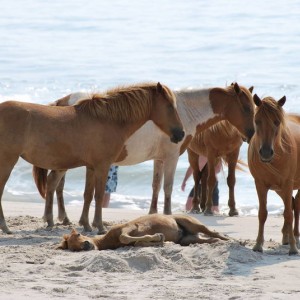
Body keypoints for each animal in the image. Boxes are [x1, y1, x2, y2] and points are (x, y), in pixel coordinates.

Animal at [0, 82, 185, 234]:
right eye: (170, 106)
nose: (180, 134)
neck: (107, 120)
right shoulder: (103, 165)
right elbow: (99, 195)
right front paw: (100, 226)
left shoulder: (91, 166)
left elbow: (88, 195)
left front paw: (87, 225)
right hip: (8, 161)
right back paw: (6, 227)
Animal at [32, 82, 255, 232]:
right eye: (245, 108)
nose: (252, 134)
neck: (184, 111)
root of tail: (62, 102)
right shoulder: (171, 157)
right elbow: (167, 188)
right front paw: (168, 215)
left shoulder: (159, 158)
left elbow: (155, 186)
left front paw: (153, 214)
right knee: (54, 184)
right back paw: (54, 219)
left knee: (54, 185)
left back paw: (57, 219)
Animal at [248, 95, 300, 254]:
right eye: (257, 121)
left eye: (277, 122)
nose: (265, 152)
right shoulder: (259, 184)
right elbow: (262, 213)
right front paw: (258, 244)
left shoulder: (288, 183)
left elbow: (288, 214)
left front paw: (293, 248)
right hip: (279, 189)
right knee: (292, 203)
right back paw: (286, 236)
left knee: (295, 205)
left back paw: (295, 236)